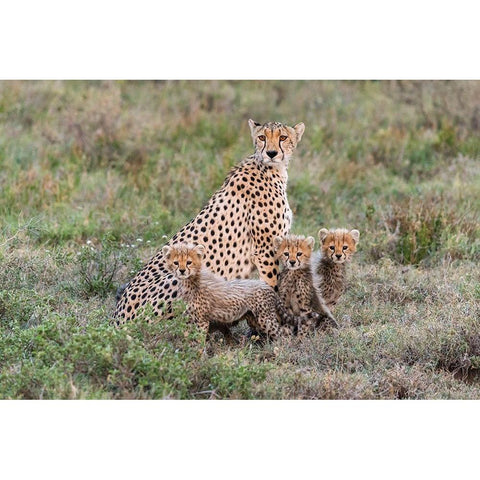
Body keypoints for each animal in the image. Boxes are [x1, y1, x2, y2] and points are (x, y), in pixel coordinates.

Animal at [113, 118, 304, 324]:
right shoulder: (265, 251)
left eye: (283, 137)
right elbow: (271, 286)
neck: (271, 169)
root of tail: (116, 319)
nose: (271, 153)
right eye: (262, 137)